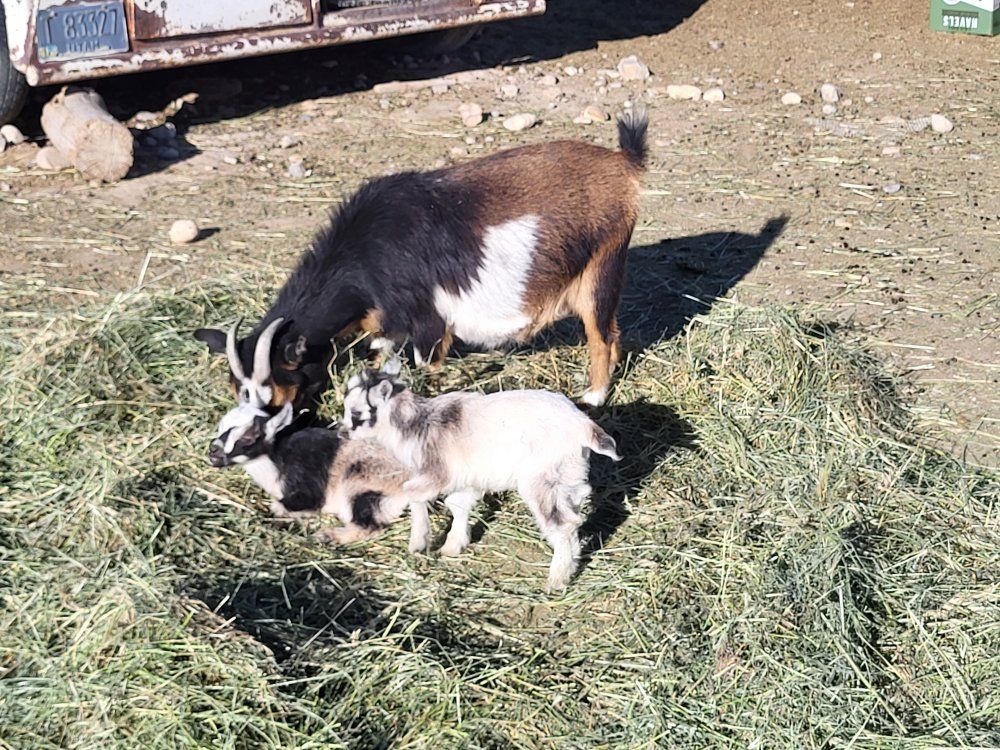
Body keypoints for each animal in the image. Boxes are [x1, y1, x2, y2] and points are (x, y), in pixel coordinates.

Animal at [194, 111, 649, 409]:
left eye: (272, 394)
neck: (363, 260)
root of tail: (623, 163)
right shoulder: (386, 323)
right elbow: (383, 356)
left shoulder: (429, 321)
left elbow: (424, 364)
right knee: (613, 332)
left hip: (600, 267)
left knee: (600, 335)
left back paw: (593, 396)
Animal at [208, 402, 413, 544]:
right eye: (221, 428)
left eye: (249, 437)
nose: (213, 450)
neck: (277, 461)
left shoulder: (306, 485)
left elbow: (283, 506)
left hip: (363, 487)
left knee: (369, 526)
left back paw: (326, 536)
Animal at [341, 366, 622, 592]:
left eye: (357, 413)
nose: (343, 433)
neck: (416, 423)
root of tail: (583, 427)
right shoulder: (467, 478)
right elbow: (458, 504)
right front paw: (453, 546)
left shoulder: (437, 473)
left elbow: (412, 492)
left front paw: (418, 543)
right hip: (566, 475)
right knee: (573, 514)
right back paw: (571, 563)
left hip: (540, 481)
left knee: (561, 523)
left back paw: (556, 579)